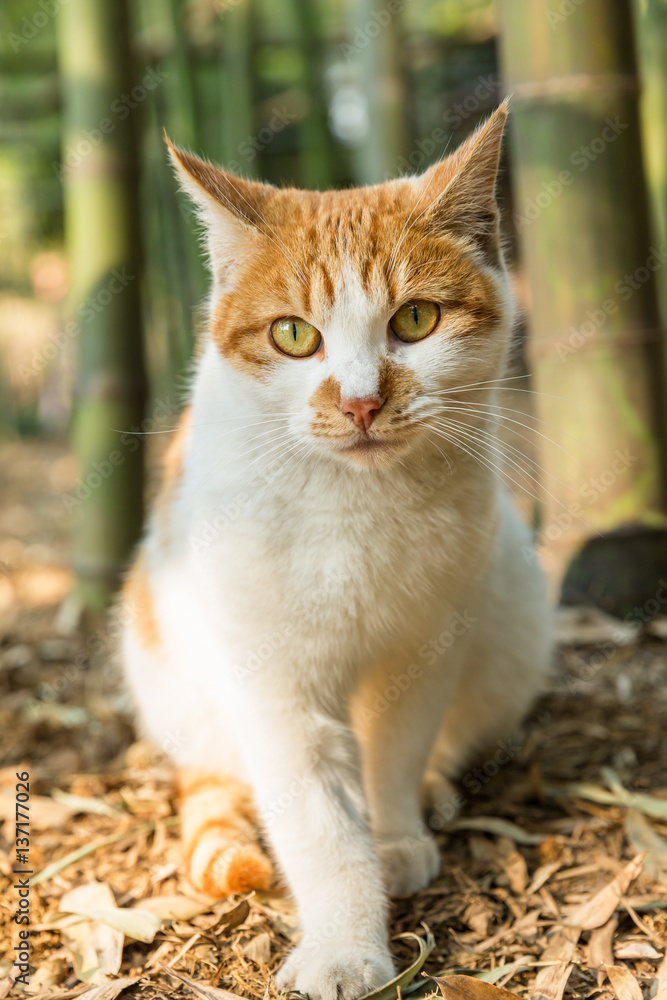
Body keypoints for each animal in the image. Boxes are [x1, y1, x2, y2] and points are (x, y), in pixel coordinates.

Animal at [121, 103, 552, 1000]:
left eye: (415, 321)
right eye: (293, 335)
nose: (358, 402)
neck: (355, 507)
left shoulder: (423, 650)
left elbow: (394, 754)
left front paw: (394, 840)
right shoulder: (273, 683)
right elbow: (319, 827)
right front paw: (345, 950)